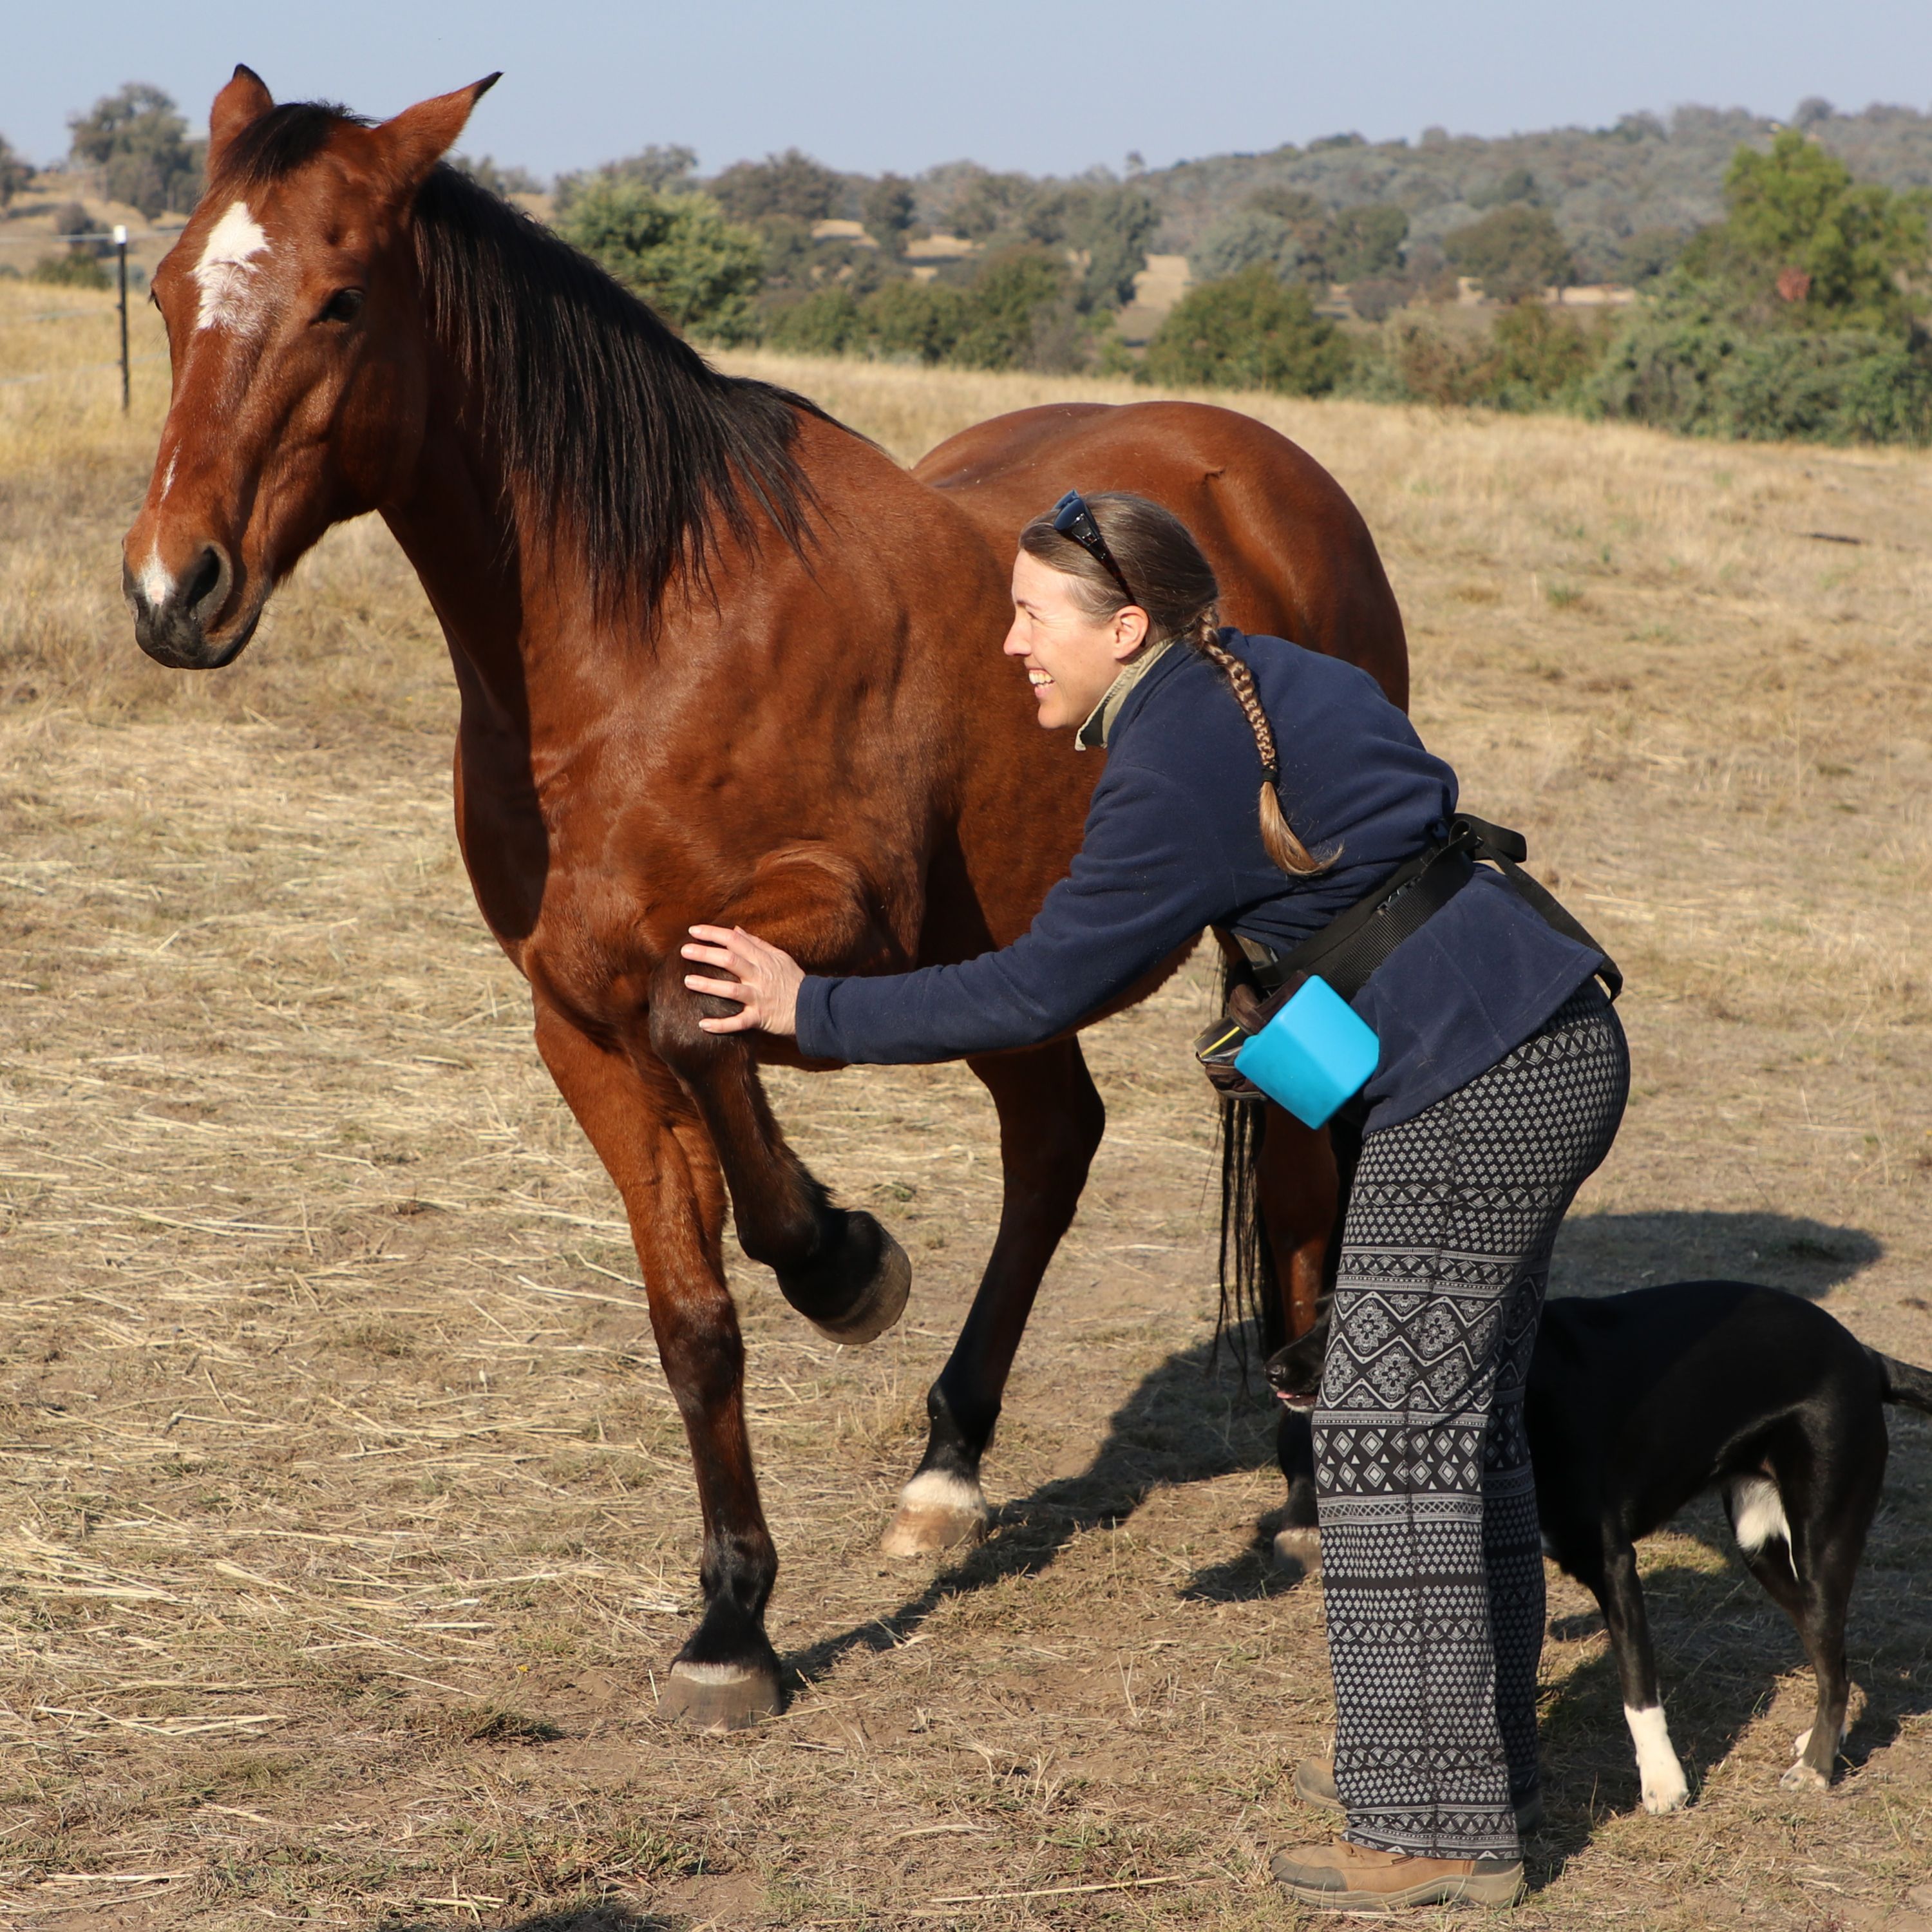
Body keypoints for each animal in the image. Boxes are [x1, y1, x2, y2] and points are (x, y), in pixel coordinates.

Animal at [122, 69, 1409, 1731]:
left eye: (340, 299)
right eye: (168, 289)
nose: (175, 590)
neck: (646, 642)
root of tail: (1262, 470)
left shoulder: (832, 929)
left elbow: (712, 1039)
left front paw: (841, 1258)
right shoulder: (578, 1024)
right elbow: (692, 1321)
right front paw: (732, 1620)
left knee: (1306, 1164)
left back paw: (1308, 1479)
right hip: (1015, 956)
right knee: (1056, 1140)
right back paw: (948, 1467)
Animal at [1266, 1280, 1932, 1812]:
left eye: (1354, 1326)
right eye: (1314, 1313)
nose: (1274, 1370)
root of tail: (1864, 1355)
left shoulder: (1613, 1565)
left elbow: (1638, 1690)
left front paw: (1664, 1782)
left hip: (1820, 1541)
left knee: (1829, 1649)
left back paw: (1816, 1768)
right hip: (1761, 1547)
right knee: (1833, 1654)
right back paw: (1827, 1739)